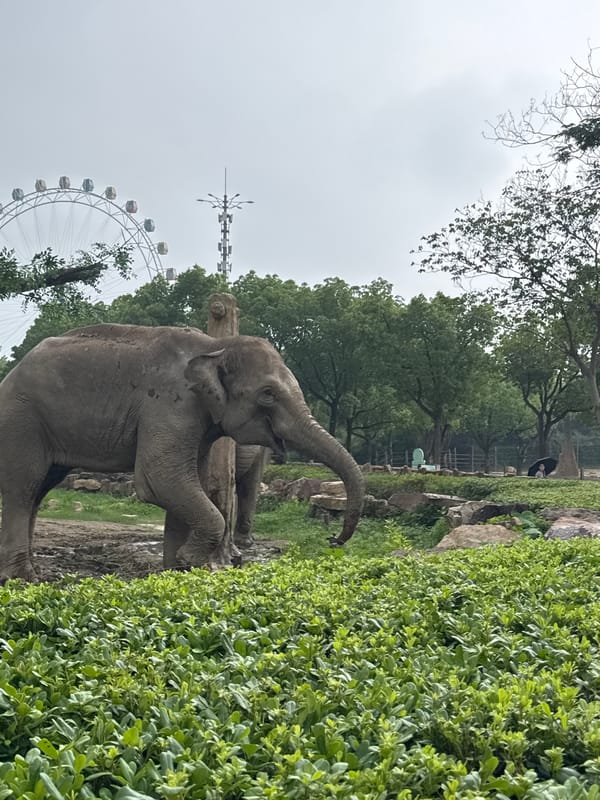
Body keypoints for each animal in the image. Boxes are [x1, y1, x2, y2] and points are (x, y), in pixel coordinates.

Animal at [0, 323, 364, 581]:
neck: (214, 347)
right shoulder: (169, 403)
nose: (332, 539)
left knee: (40, 488)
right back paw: (24, 578)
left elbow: (187, 482)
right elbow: (160, 479)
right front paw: (195, 562)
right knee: (25, 486)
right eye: (268, 394)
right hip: (21, 419)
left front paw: (177, 571)